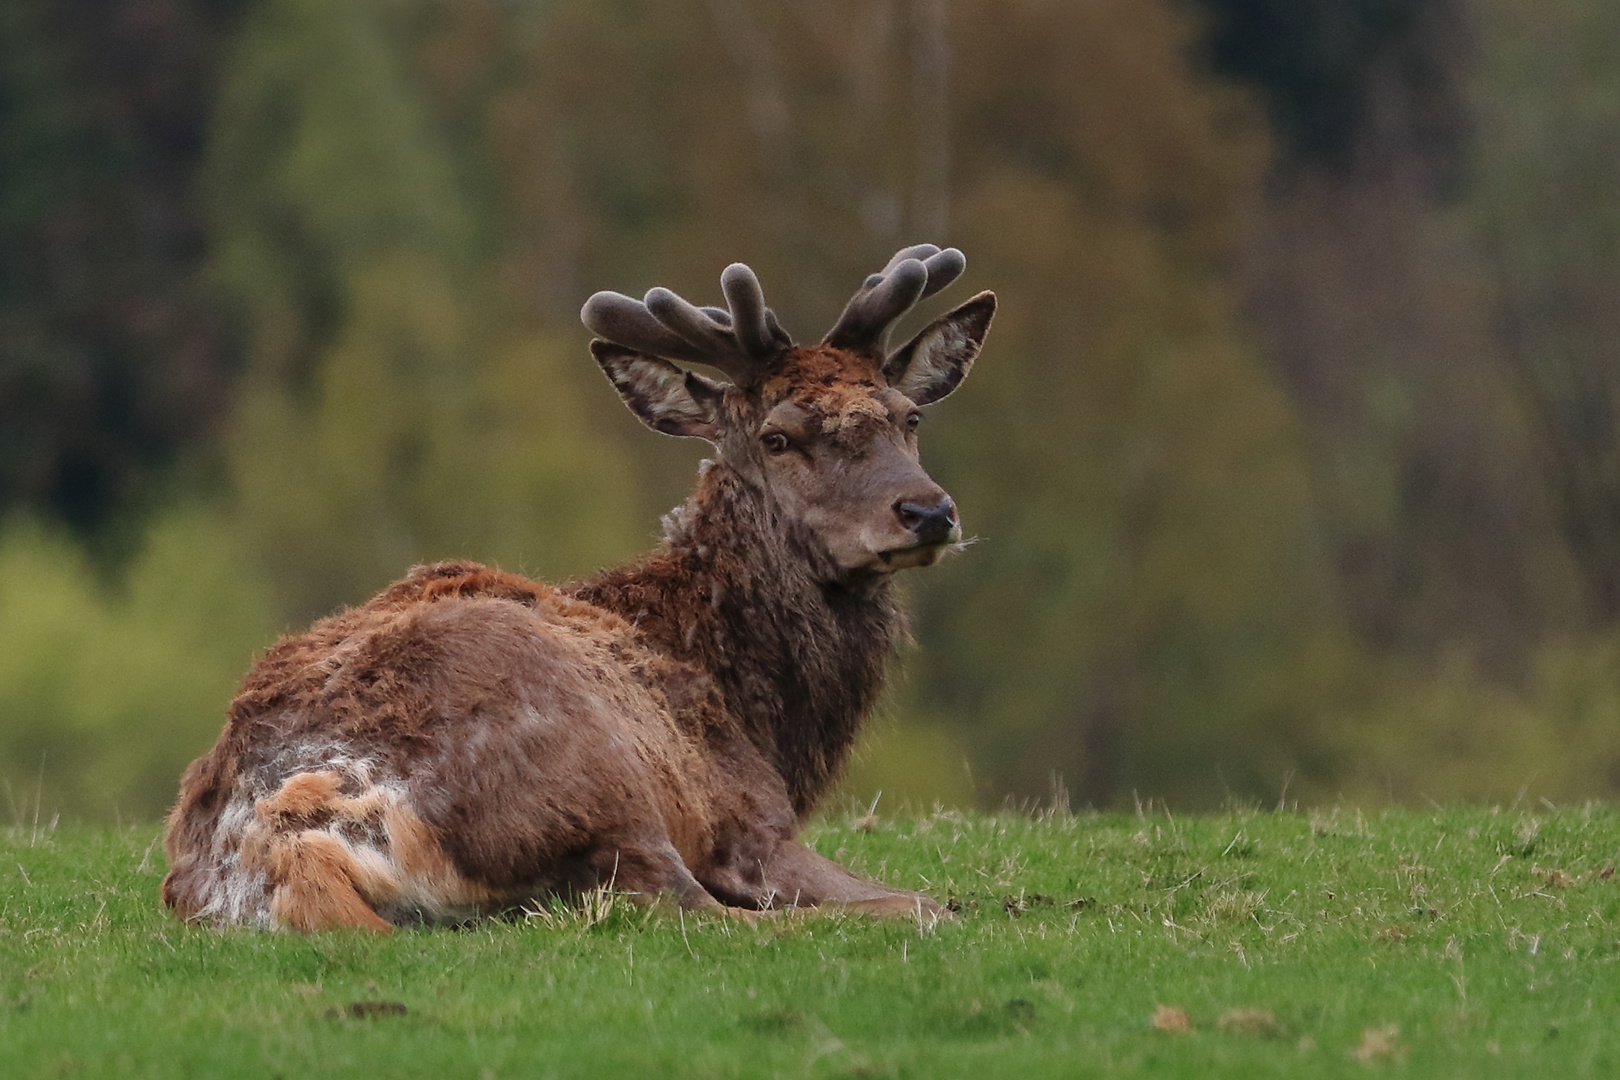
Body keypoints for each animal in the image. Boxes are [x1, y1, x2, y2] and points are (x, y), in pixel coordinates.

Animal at [167, 244, 997, 932]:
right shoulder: (748, 820)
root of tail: (287, 841)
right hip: (594, 781)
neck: (764, 721)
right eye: (778, 437)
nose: (928, 511)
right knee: (696, 909)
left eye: (908, 417)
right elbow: (915, 895)